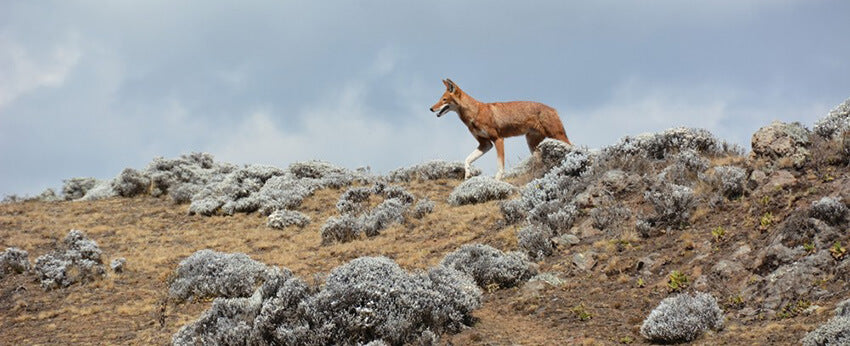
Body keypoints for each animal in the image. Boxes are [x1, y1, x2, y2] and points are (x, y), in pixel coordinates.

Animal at [430, 78, 568, 180]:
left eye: (444, 100)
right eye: (440, 99)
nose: (431, 108)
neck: (475, 114)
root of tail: (553, 109)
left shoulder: (498, 139)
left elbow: (500, 166)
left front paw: (497, 180)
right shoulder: (485, 144)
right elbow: (467, 160)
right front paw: (467, 174)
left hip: (556, 137)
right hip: (532, 144)